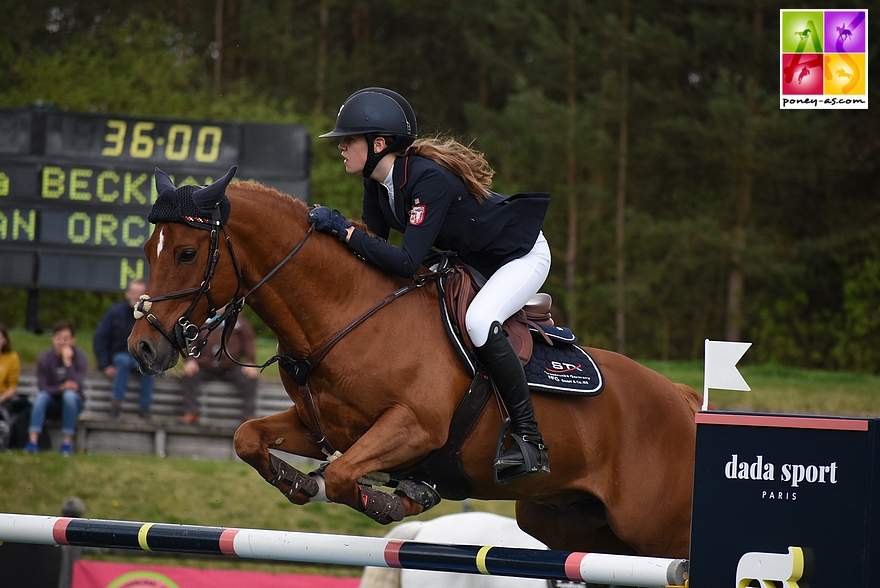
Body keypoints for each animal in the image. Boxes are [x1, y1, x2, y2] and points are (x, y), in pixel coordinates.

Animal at [131, 171, 704, 560]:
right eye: (146, 250)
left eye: (186, 253)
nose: (142, 349)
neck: (347, 314)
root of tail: (682, 397)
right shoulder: (323, 427)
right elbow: (248, 437)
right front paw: (297, 482)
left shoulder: (415, 427)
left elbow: (344, 476)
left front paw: (397, 501)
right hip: (571, 523)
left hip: (658, 529)